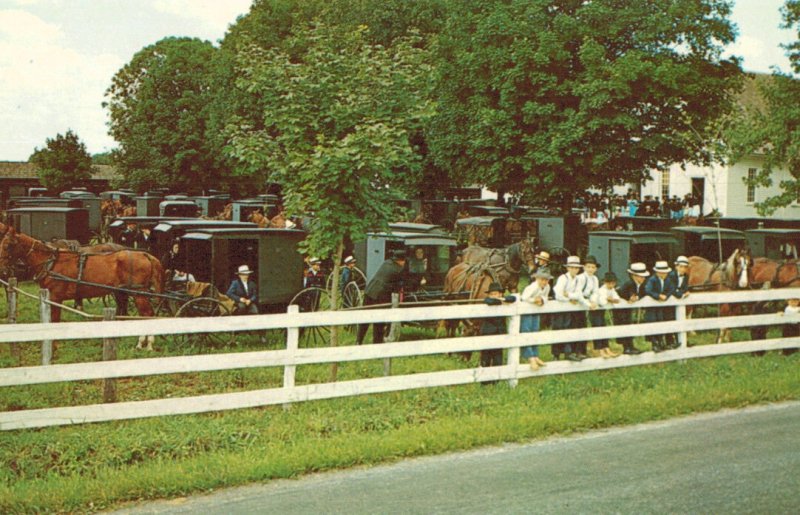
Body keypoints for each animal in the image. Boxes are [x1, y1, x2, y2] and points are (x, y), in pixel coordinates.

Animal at [0, 225, 163, 350]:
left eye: (7, 245)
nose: (2, 269)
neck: (51, 262)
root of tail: (145, 255)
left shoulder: (56, 298)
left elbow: (55, 320)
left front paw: (54, 346)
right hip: (123, 292)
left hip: (138, 294)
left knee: (147, 314)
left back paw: (145, 343)